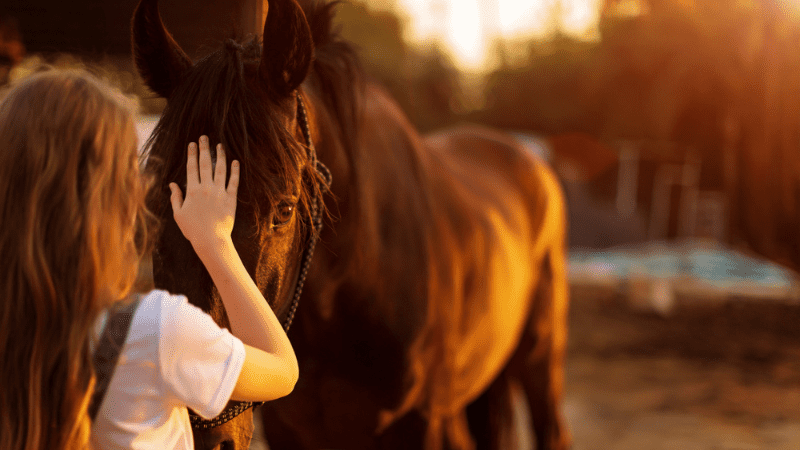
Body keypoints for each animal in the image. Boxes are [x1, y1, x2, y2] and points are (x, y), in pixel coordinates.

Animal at [133, 0, 568, 450]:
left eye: (284, 210)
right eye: (155, 205)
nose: (199, 433)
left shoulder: (421, 422)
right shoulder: (290, 431)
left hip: (540, 358)